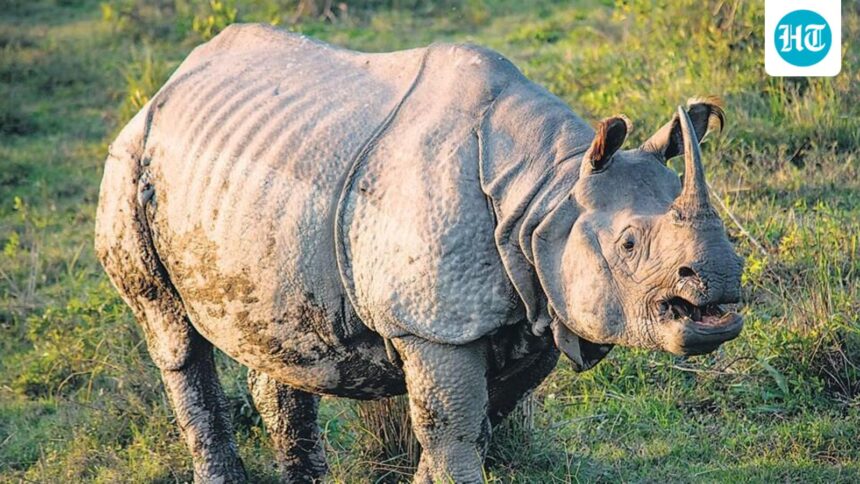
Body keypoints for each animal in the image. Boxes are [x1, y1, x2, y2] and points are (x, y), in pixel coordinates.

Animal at [95, 24, 744, 483]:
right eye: (629, 244)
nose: (723, 278)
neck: (547, 194)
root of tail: (171, 81)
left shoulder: (535, 304)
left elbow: (473, 427)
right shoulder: (432, 325)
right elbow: (452, 433)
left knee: (276, 342)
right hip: (128, 163)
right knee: (174, 335)